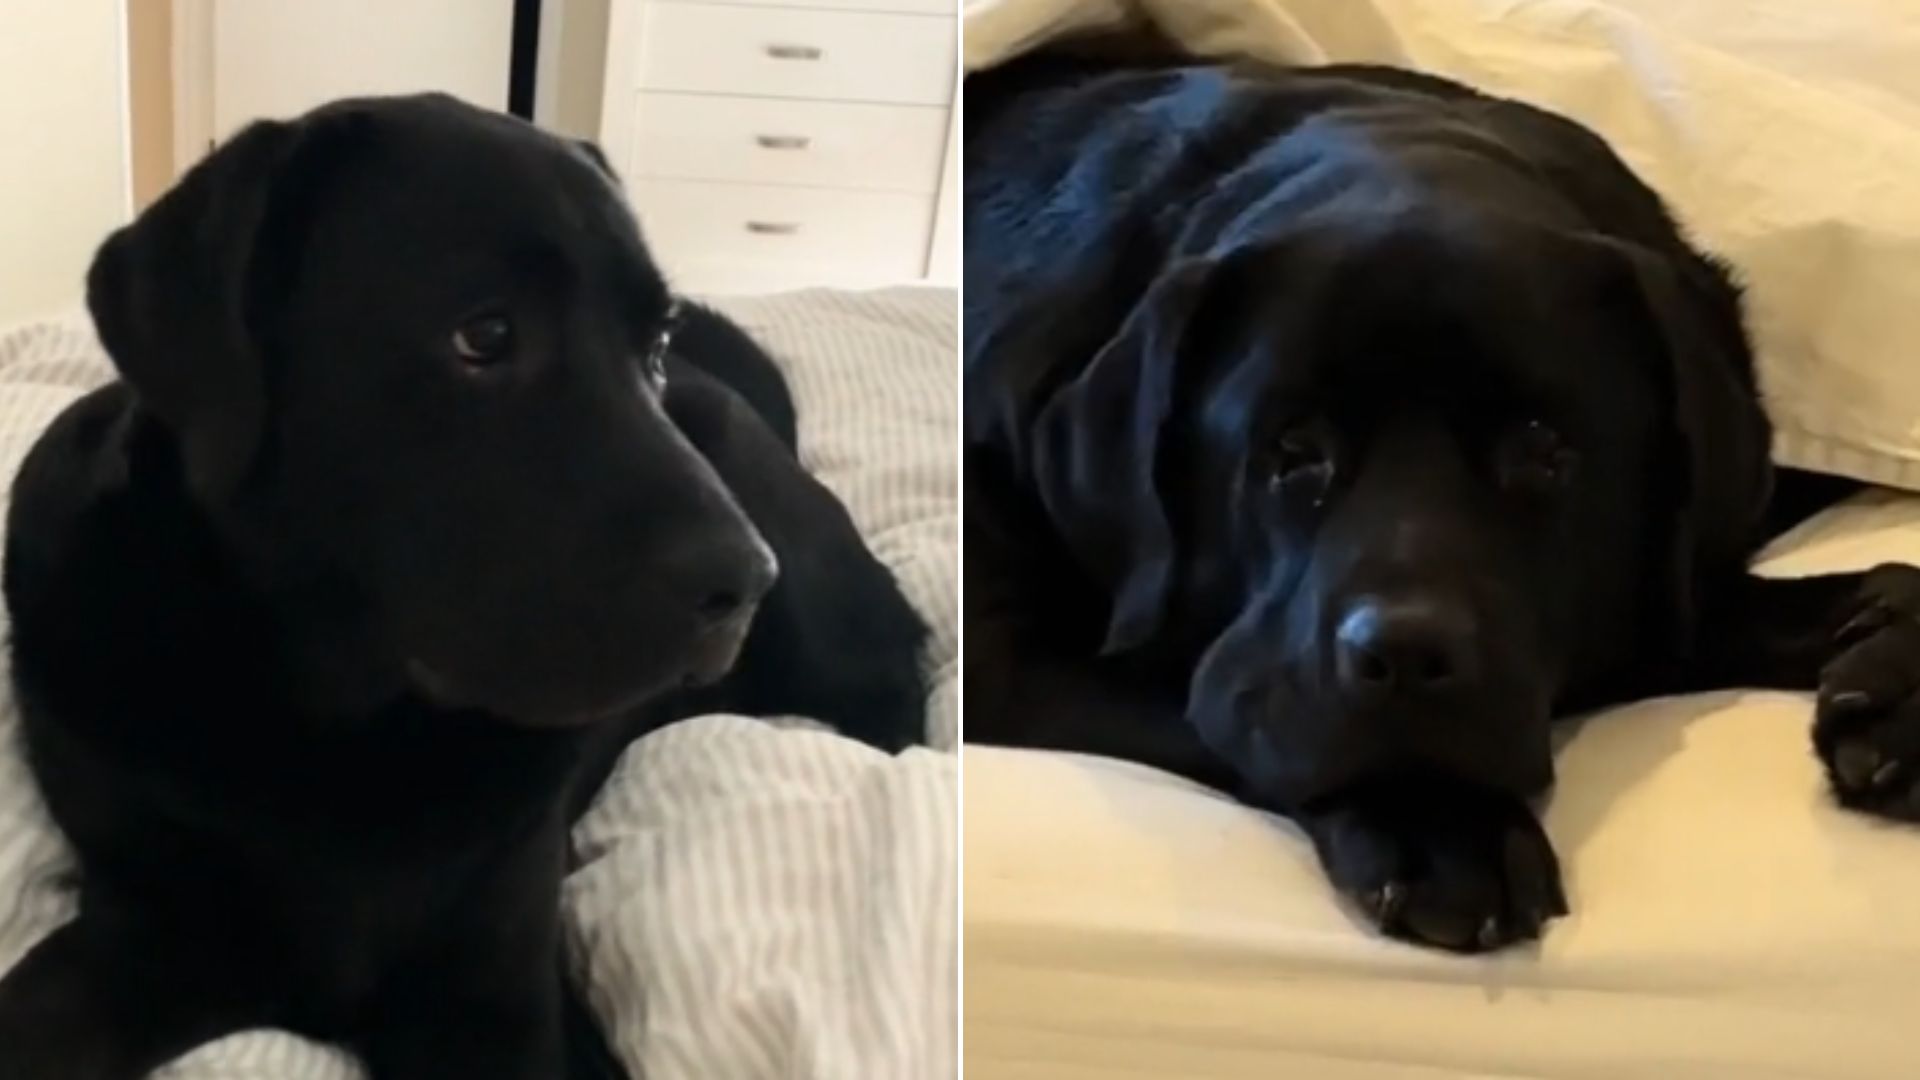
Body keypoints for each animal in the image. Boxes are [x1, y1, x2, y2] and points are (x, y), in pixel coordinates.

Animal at [0, 94, 929, 1076]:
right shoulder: (154, 933)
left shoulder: (492, 985)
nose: (745, 580)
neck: (339, 724)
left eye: (655, 342)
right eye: (484, 335)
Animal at [967, 54, 1920, 949]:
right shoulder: (998, 656)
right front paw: (1439, 823)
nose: (1403, 655)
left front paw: (1894, 691)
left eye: (1542, 450)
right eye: (1292, 451)